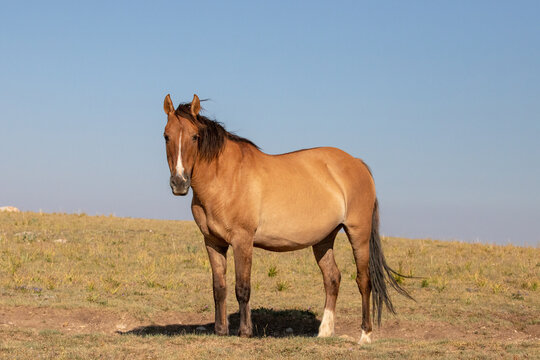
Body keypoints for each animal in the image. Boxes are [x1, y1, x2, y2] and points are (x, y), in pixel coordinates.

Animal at [160, 93, 410, 346]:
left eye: (194, 136)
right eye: (166, 136)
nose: (179, 182)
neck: (227, 177)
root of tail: (357, 163)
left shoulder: (243, 240)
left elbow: (243, 288)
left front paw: (245, 331)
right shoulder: (213, 242)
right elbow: (219, 287)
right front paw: (221, 331)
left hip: (358, 233)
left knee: (364, 280)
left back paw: (365, 335)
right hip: (324, 239)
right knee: (332, 278)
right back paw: (325, 332)